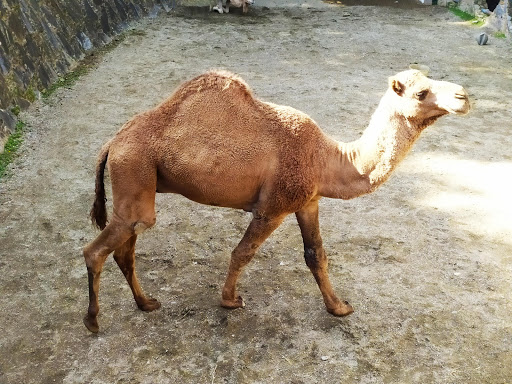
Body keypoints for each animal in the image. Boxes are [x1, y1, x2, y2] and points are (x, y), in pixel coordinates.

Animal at [82, 70, 470, 332]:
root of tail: (111, 144)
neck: (326, 157)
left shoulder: (307, 201)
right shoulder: (274, 206)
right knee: (96, 251)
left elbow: (316, 255)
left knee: (125, 247)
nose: (463, 95)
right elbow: (243, 252)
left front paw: (339, 307)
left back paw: (146, 303)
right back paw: (93, 321)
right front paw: (229, 300)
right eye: (421, 92)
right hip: (134, 170)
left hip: (136, 187)